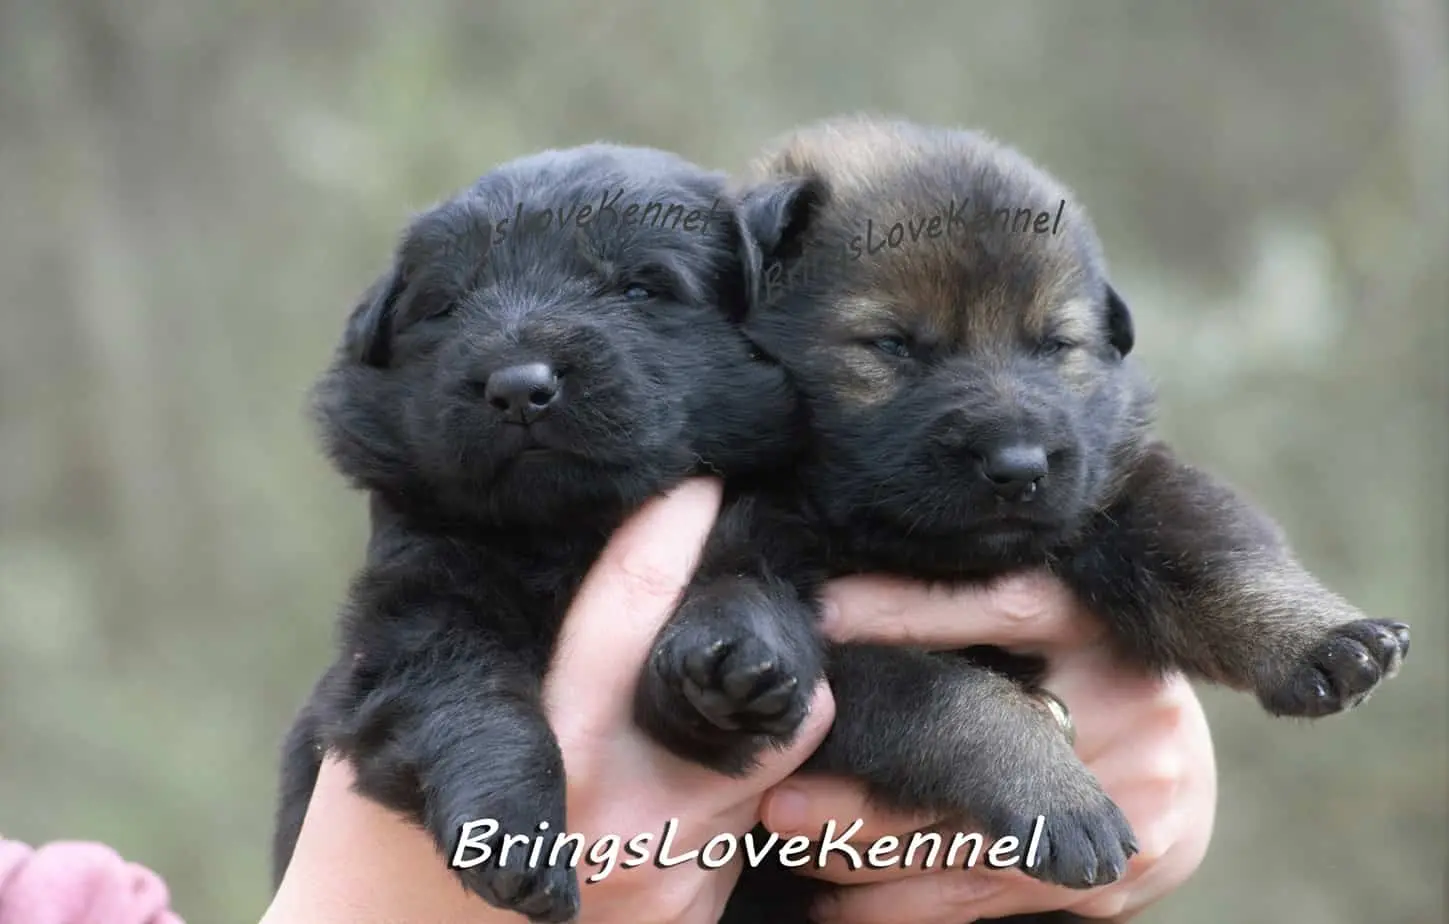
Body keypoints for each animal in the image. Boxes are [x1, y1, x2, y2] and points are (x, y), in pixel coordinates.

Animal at [269, 143, 801, 922]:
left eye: (639, 289)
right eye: (448, 306)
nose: (519, 387)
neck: (562, 530)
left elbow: (753, 570)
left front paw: (729, 657)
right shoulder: (417, 598)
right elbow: (467, 693)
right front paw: (512, 829)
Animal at [628, 116, 1412, 924]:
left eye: (1053, 344)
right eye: (893, 345)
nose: (1018, 465)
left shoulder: (1116, 483)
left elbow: (1205, 548)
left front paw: (1314, 636)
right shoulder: (821, 636)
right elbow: (950, 695)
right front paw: (1053, 792)